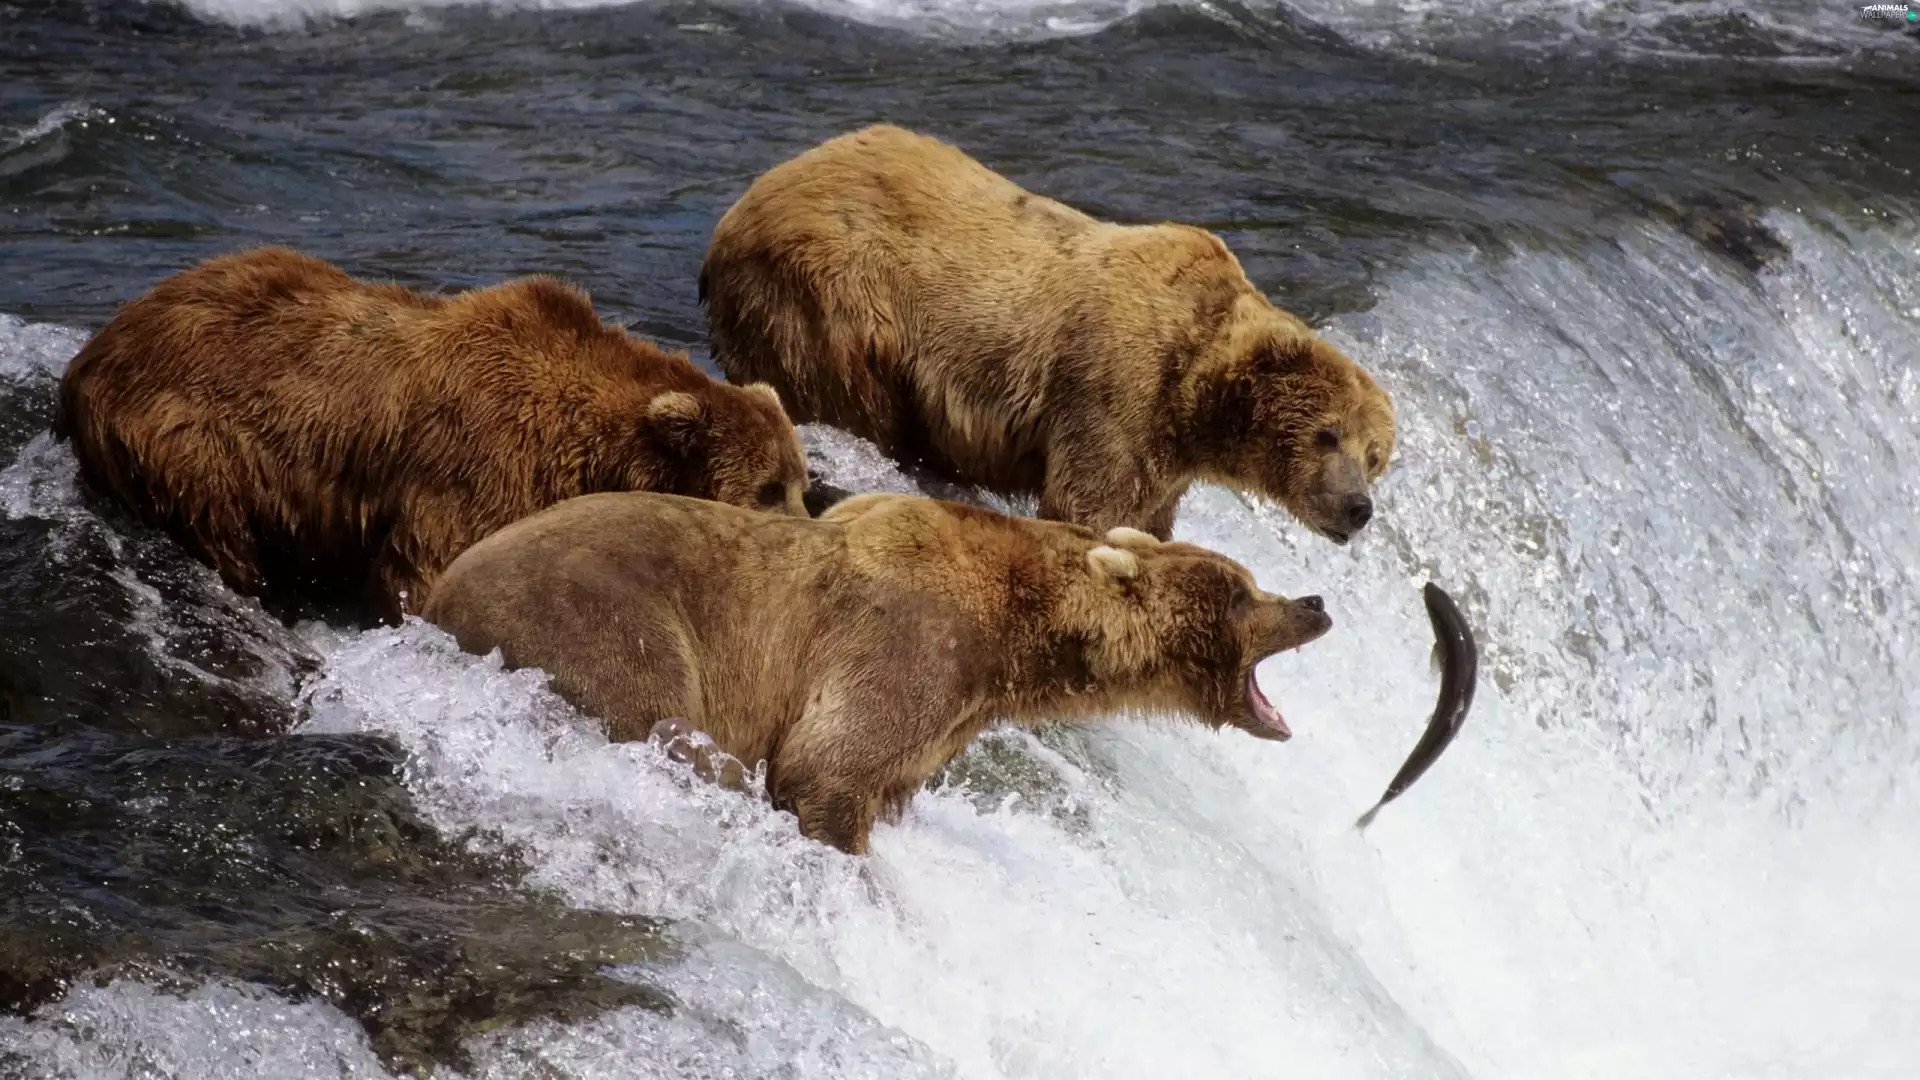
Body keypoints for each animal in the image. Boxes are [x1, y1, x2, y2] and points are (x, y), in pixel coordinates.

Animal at [54, 245, 810, 624]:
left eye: (801, 483)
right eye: (767, 488)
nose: (807, 534)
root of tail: (89, 355)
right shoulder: (478, 465)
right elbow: (426, 570)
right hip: (188, 436)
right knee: (219, 526)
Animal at [422, 489, 1334, 854]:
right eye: (1242, 593)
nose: (1316, 602)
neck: (1018, 636)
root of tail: (435, 595)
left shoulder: (949, 714)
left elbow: (887, 778)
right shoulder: (907, 644)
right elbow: (828, 764)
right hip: (601, 616)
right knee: (664, 717)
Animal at [698, 123, 1397, 544]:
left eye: (1375, 456)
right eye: (1327, 433)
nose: (1358, 508)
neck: (1194, 397)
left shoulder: (1166, 459)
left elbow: (1148, 519)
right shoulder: (1115, 392)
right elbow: (1090, 507)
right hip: (832, 297)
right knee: (848, 398)